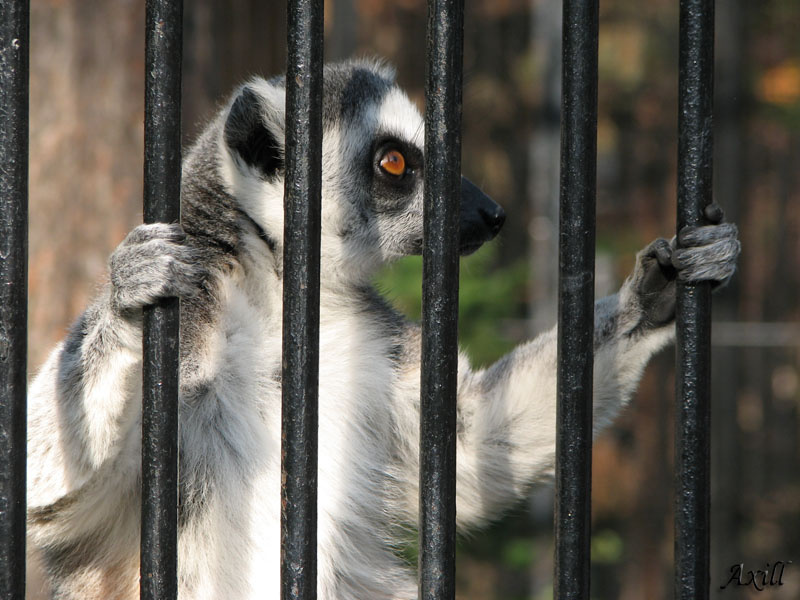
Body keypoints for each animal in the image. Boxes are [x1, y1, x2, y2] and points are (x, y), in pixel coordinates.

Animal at [26, 59, 740, 599]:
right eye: (394, 163)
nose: (493, 213)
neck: (277, 291)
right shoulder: (199, 303)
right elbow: (42, 479)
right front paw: (132, 295)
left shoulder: (376, 342)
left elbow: (465, 451)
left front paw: (652, 299)